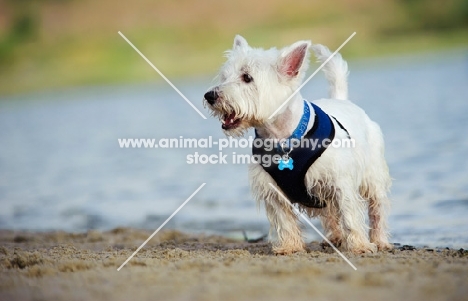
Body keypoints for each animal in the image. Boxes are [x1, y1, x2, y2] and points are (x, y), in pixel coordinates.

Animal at [204, 35, 392, 255]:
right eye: (224, 76)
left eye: (247, 77)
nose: (210, 96)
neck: (283, 139)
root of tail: (342, 100)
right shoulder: (273, 189)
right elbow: (284, 220)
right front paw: (289, 247)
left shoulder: (341, 182)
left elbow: (350, 215)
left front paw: (360, 246)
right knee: (330, 212)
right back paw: (335, 238)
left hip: (373, 174)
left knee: (377, 208)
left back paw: (380, 241)